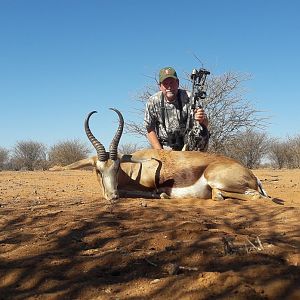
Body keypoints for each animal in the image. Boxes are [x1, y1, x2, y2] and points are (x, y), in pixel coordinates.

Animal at [49, 108, 268, 202]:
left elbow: (145, 192)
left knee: (254, 196)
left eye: (117, 167)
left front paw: (162, 194)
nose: (112, 196)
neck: (133, 169)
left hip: (217, 179)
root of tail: (252, 175)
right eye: (97, 170)